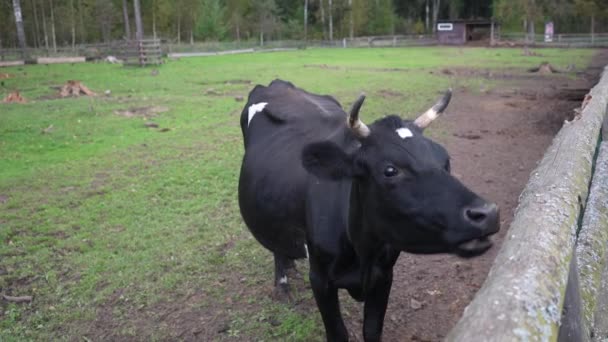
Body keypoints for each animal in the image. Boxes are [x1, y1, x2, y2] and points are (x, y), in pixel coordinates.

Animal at [238, 80, 498, 342]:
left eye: (446, 161)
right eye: (390, 170)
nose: (487, 213)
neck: (363, 253)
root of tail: (276, 84)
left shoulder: (383, 276)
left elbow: (372, 330)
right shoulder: (320, 279)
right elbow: (338, 333)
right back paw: (282, 283)